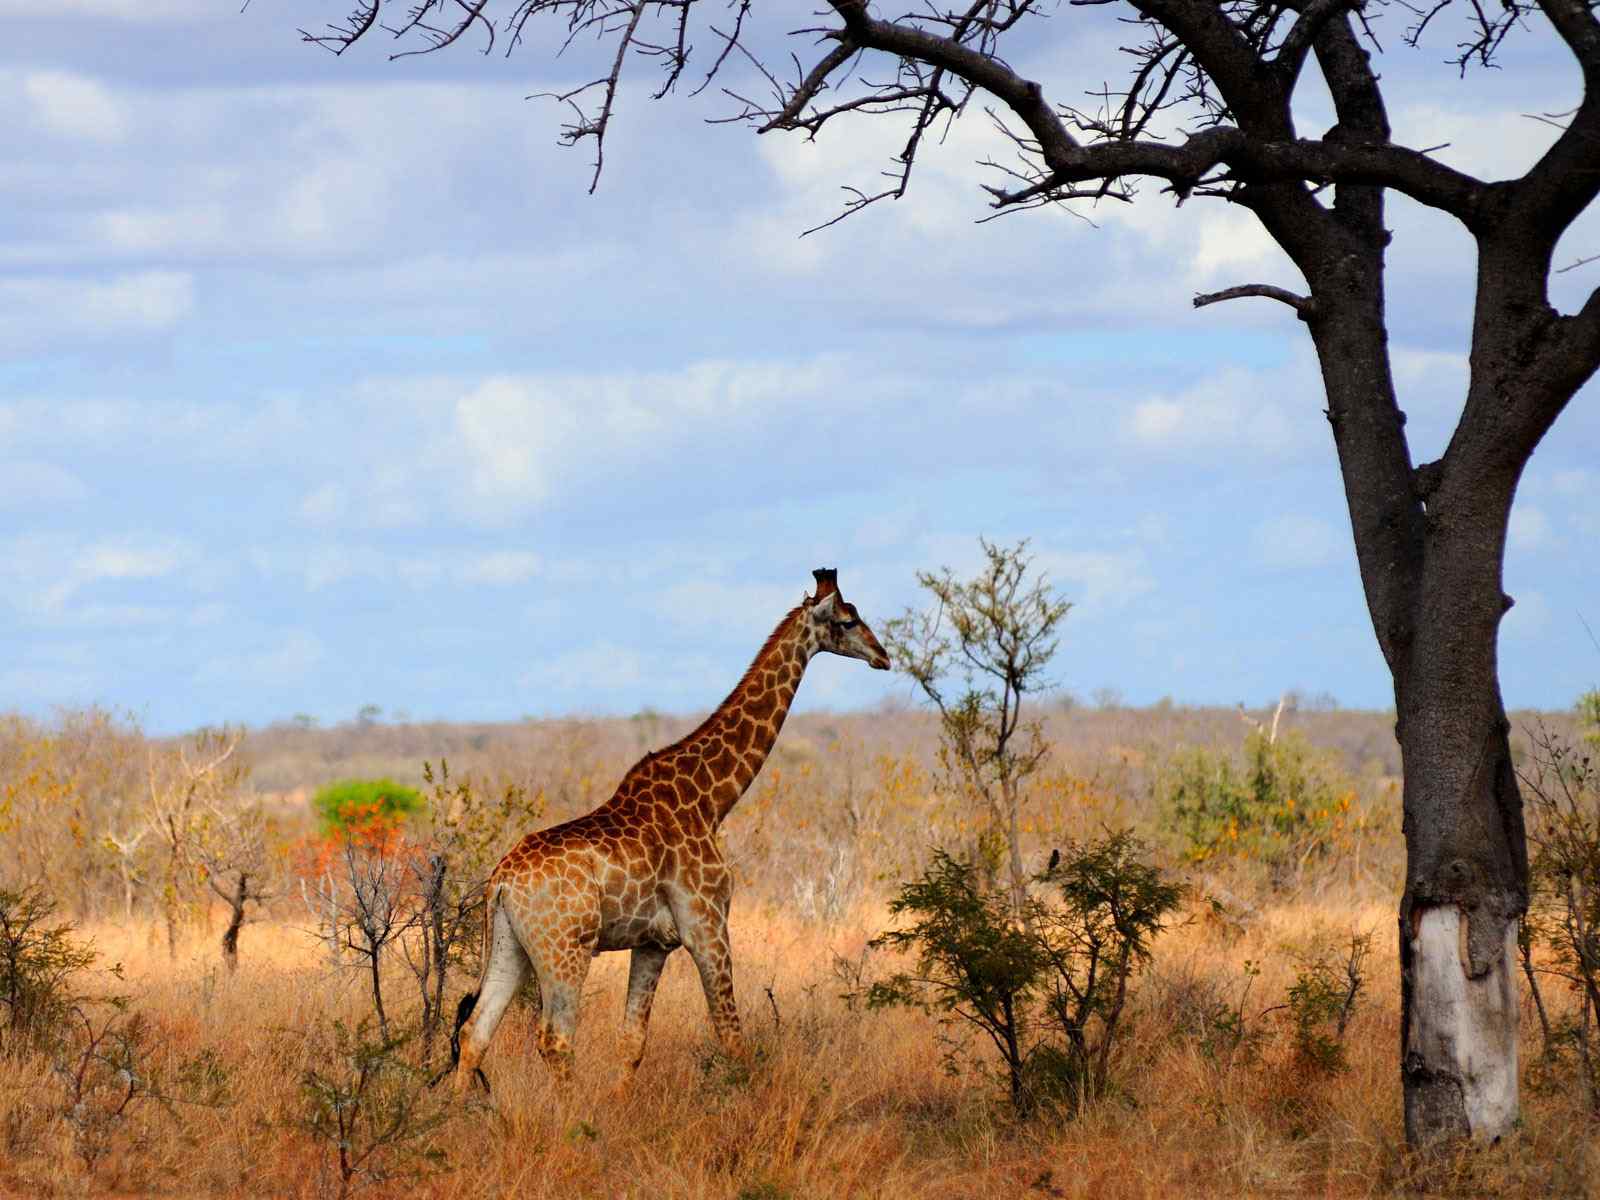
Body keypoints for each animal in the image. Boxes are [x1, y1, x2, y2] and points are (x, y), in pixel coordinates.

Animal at [451, 569, 896, 1094]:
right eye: (848, 620)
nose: (884, 656)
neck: (709, 801)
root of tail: (500, 881)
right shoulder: (707, 924)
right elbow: (730, 1032)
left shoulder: (653, 943)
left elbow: (632, 1042)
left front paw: (621, 1105)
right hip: (566, 947)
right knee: (555, 1038)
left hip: (511, 945)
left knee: (475, 1031)